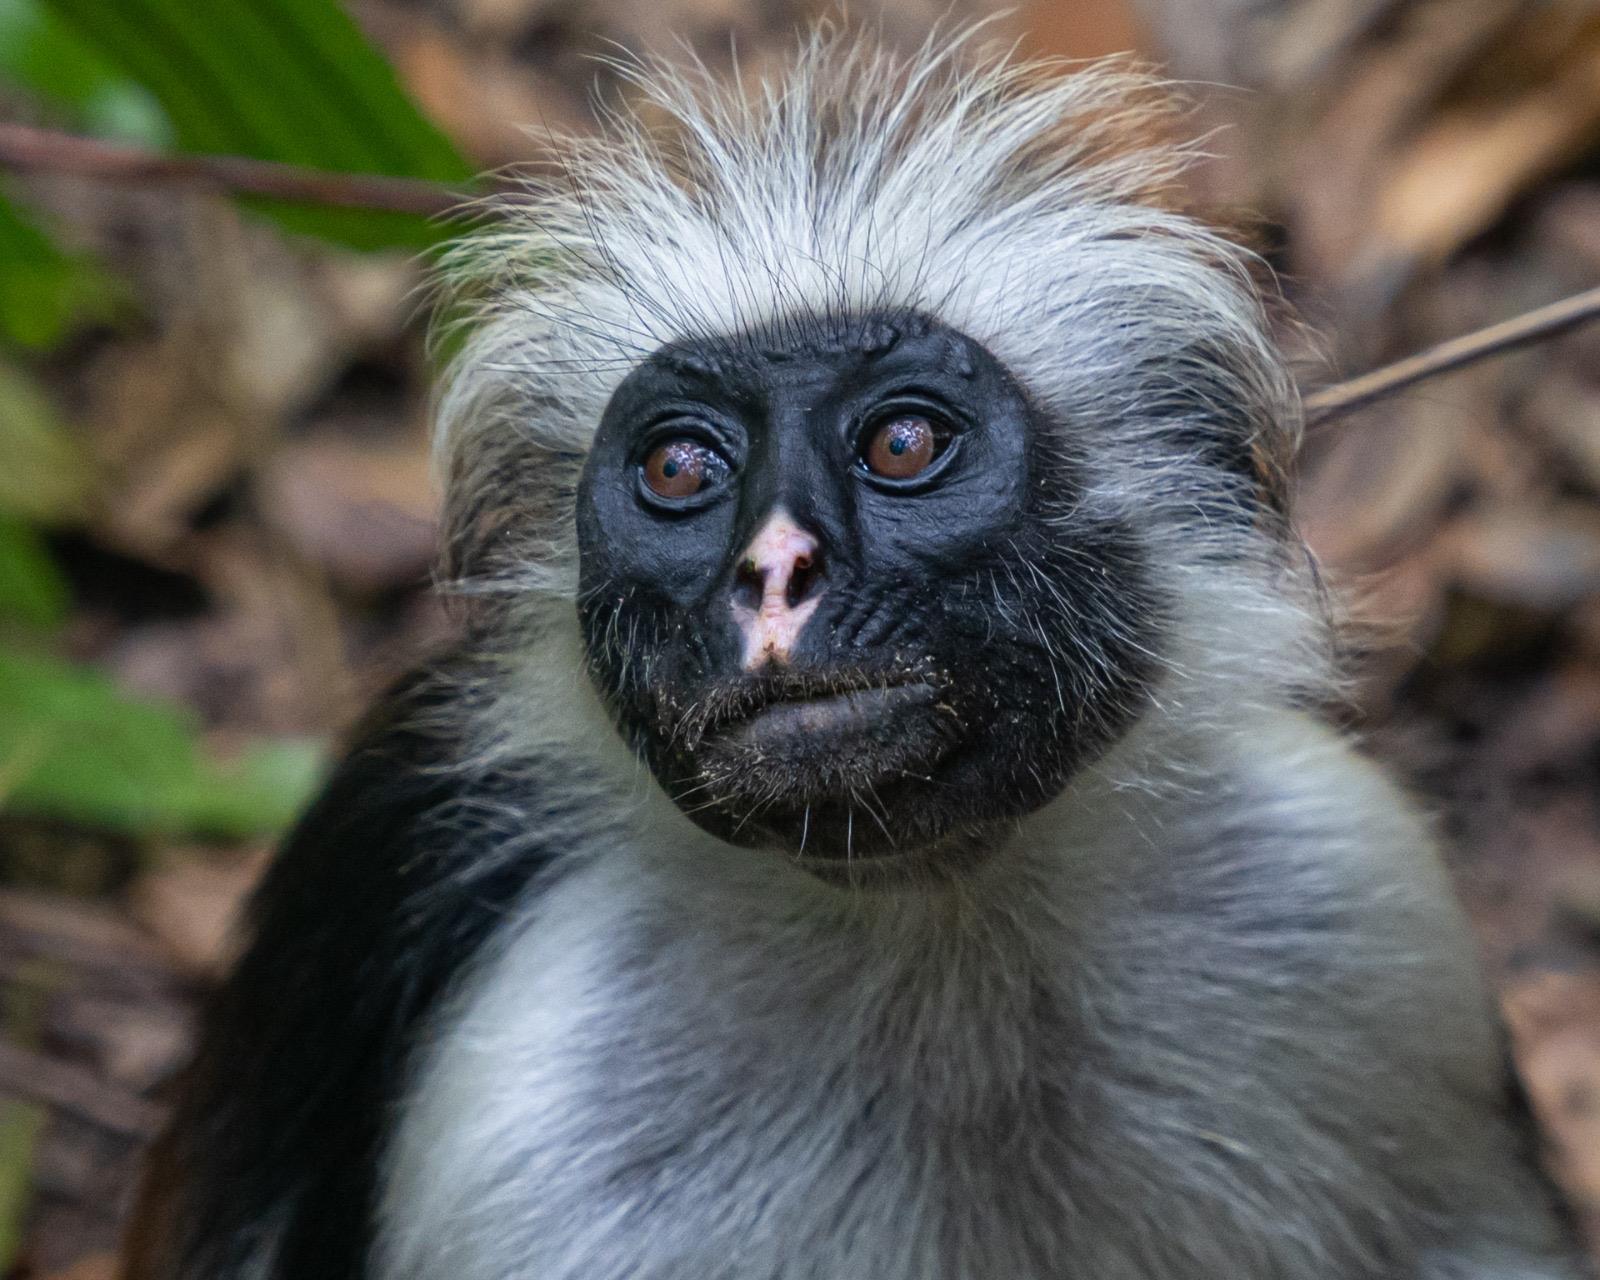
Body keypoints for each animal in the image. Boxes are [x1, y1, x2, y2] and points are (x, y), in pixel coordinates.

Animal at [124, 28, 1593, 1280]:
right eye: (680, 470)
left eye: (903, 442)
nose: (774, 575)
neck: (934, 925)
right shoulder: (535, 1115)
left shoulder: (1351, 904)